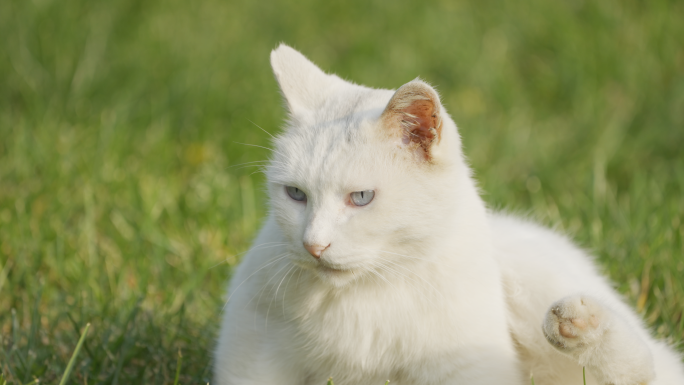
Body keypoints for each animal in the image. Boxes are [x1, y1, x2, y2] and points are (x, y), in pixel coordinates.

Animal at [214, 43, 684, 382]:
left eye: (361, 197)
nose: (313, 245)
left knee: (645, 367)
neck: (368, 291)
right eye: (296, 194)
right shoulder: (251, 347)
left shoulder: (464, 369)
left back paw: (577, 324)